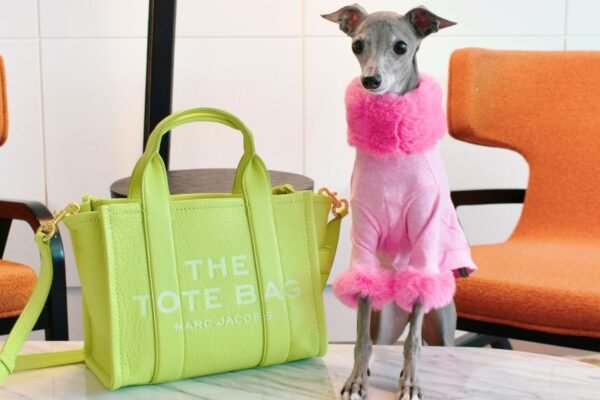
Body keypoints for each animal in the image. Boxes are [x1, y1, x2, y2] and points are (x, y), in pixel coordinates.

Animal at [324, 3, 460, 400]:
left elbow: (412, 343)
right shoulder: (364, 240)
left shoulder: (425, 235)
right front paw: (356, 379)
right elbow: (360, 339)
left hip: (441, 322)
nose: (371, 81)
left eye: (401, 47)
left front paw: (411, 382)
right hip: (384, 321)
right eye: (357, 45)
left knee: (426, 336)